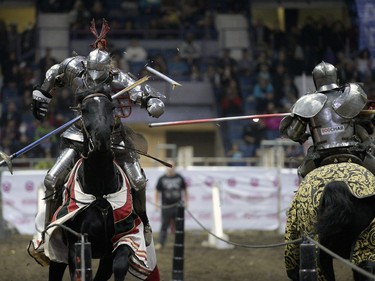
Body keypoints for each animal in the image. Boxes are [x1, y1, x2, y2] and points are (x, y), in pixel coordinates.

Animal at [45, 93, 148, 280]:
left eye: (112, 107)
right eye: (84, 110)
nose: (102, 138)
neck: (100, 194)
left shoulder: (124, 239)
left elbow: (120, 264)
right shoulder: (76, 245)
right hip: (58, 253)